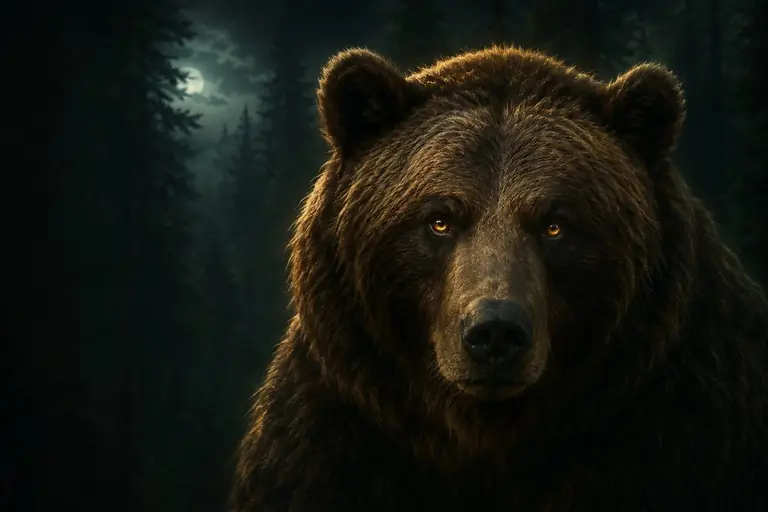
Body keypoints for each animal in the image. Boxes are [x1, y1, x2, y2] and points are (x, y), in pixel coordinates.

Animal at [231, 46, 768, 512]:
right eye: (439, 219)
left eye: (555, 223)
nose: (494, 332)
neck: (486, 437)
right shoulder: (331, 441)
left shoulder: (682, 423)